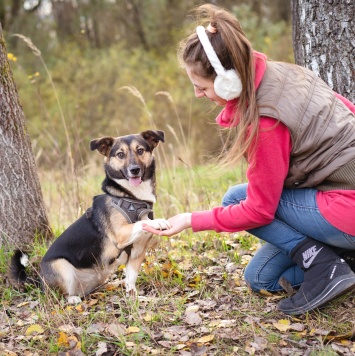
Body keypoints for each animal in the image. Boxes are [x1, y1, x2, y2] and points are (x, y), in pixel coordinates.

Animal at [8, 130, 170, 304]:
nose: (134, 170)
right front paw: (159, 221)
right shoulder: (120, 233)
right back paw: (72, 299)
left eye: (140, 150)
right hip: (61, 266)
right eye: (120, 154)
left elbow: (131, 279)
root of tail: (40, 281)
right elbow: (141, 223)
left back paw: (113, 283)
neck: (133, 198)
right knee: (58, 296)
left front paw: (135, 297)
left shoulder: (137, 251)